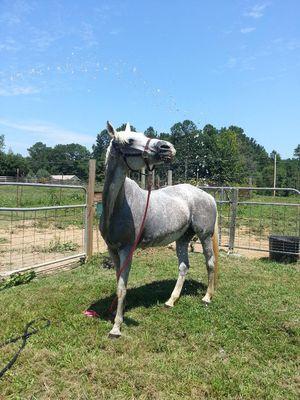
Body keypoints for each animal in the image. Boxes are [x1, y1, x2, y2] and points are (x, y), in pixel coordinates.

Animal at [99, 122, 219, 338]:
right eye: (130, 140)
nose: (167, 147)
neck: (116, 206)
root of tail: (207, 196)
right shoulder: (112, 250)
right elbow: (118, 281)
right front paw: (115, 311)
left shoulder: (127, 250)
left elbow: (122, 287)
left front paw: (116, 327)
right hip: (183, 238)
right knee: (183, 267)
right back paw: (171, 300)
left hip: (204, 236)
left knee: (210, 263)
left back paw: (207, 297)